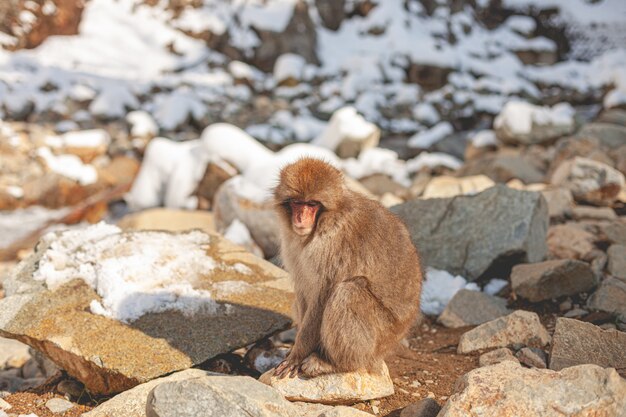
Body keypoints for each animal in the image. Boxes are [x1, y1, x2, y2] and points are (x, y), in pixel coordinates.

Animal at [272, 157, 422, 376]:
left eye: (311, 204)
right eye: (297, 203)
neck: (325, 222)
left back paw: (336, 363)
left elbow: (322, 296)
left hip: (380, 336)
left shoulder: (331, 247)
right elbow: (303, 288)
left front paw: (298, 354)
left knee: (350, 290)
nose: (300, 218)